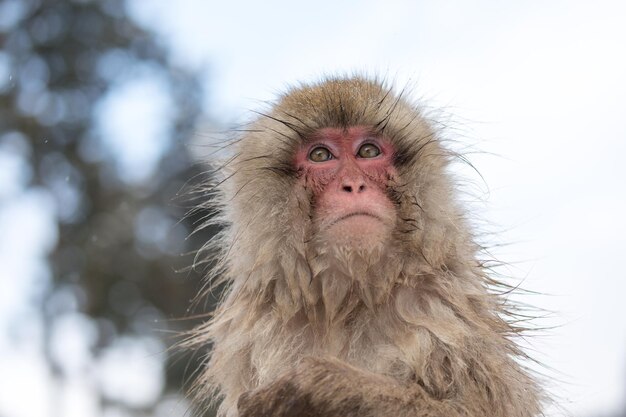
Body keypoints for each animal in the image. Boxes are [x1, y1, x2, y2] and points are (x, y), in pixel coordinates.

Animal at [184, 75, 540, 416]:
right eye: (320, 155)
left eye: (368, 151)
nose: (353, 186)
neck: (349, 298)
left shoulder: (445, 309)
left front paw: (321, 386)